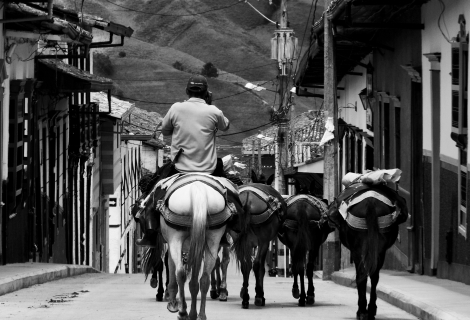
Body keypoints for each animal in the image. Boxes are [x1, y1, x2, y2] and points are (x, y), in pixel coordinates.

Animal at [159, 175, 230, 320]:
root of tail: (198, 187)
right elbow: (195, 281)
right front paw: (193, 312)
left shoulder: (171, 243)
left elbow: (172, 269)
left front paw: (173, 304)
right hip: (213, 239)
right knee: (205, 278)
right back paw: (201, 314)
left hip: (176, 238)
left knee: (180, 273)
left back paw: (182, 312)